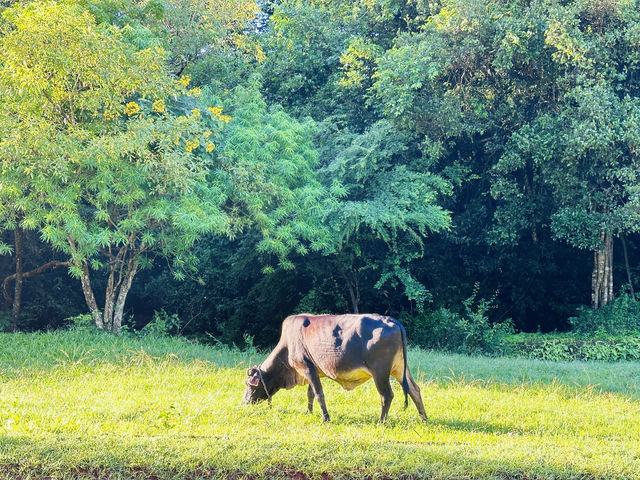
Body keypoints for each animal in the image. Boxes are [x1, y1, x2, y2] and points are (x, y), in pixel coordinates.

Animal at [242, 316, 428, 424]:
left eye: (250, 385)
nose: (244, 402)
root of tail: (393, 321)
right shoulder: (314, 371)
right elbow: (310, 394)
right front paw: (308, 412)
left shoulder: (306, 367)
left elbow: (319, 394)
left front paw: (325, 418)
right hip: (400, 369)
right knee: (414, 390)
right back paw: (423, 418)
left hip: (380, 372)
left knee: (387, 395)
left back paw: (381, 421)